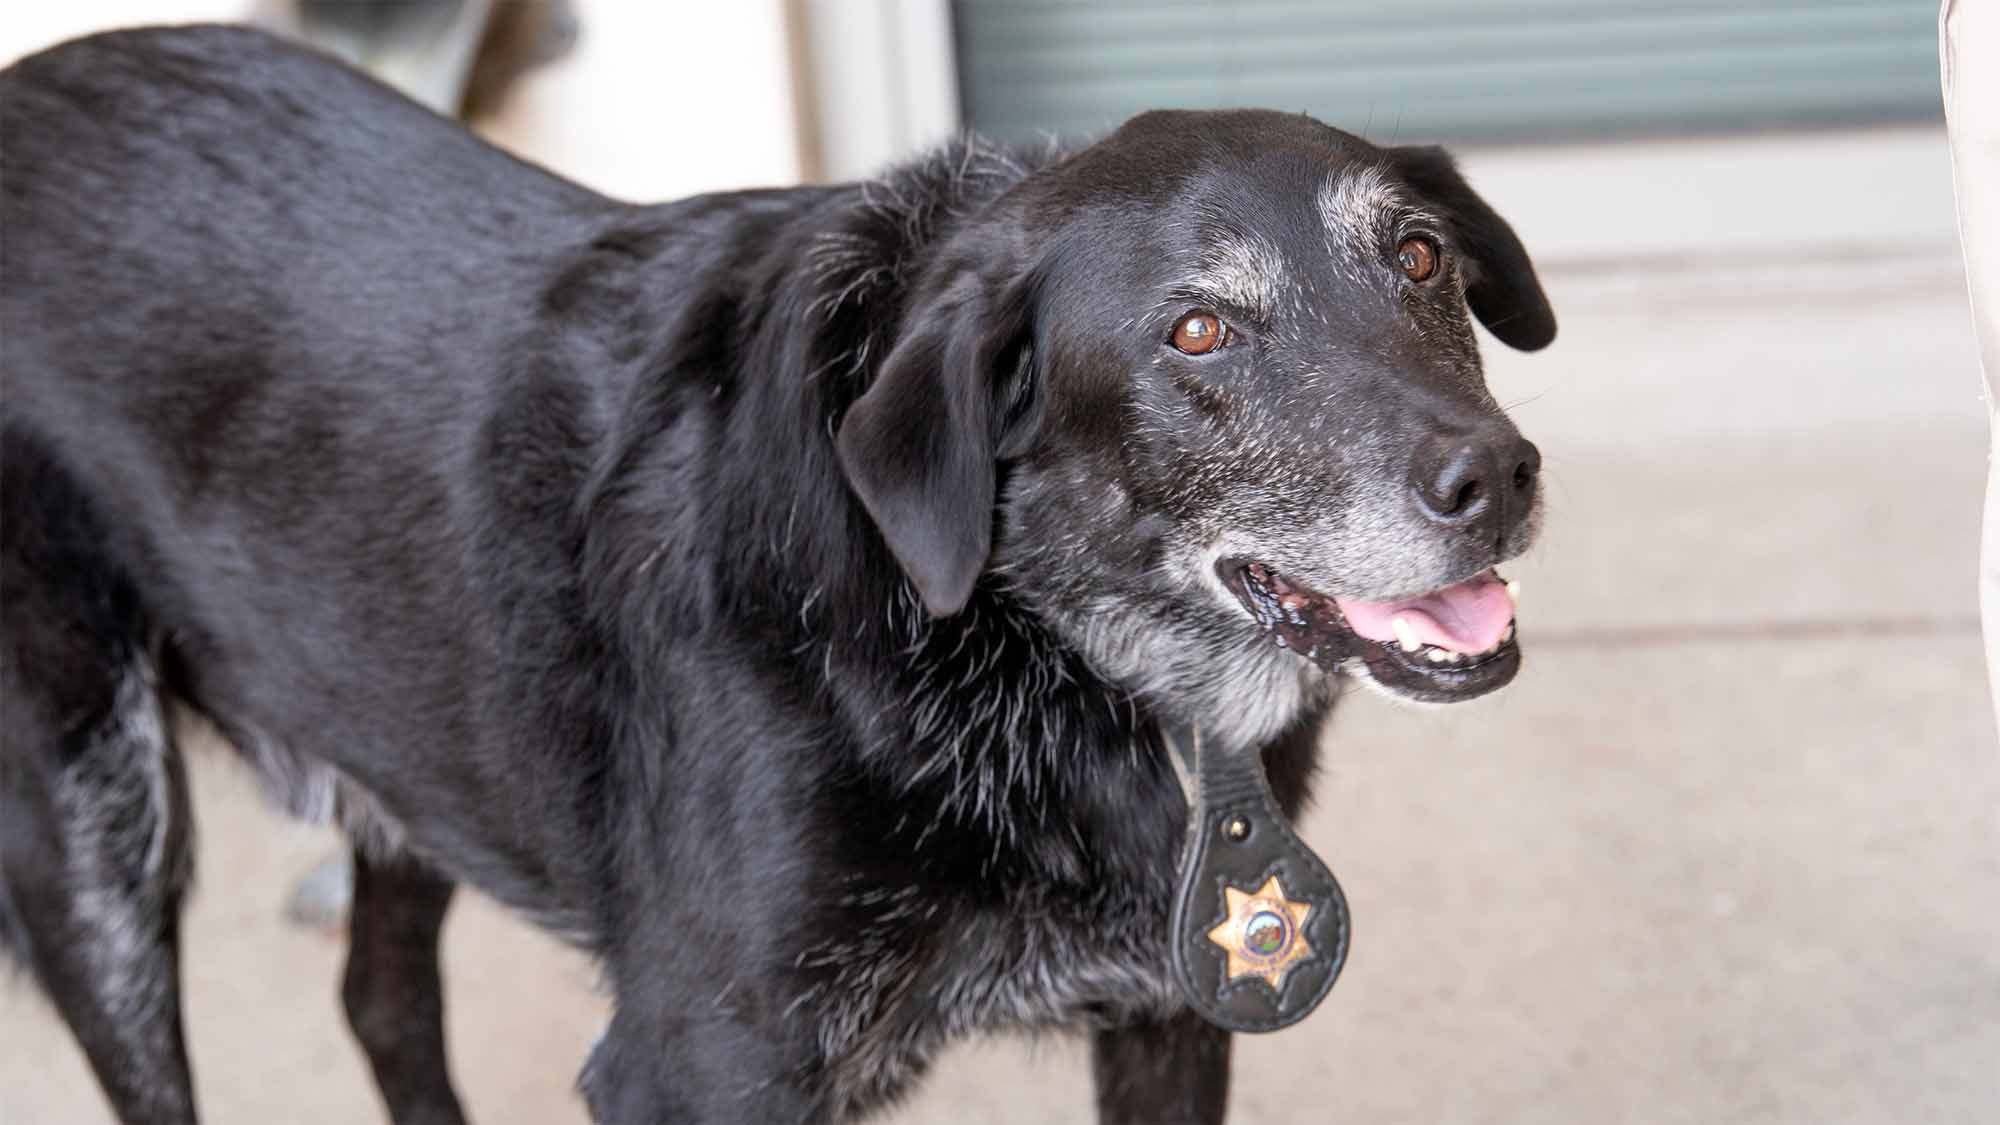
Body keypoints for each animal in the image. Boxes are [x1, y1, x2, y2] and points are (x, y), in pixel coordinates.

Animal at [0, 24, 1555, 1125]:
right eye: (1196, 332)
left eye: (1419, 256)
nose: (1498, 477)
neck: (1006, 638)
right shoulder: (702, 1064)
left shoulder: (1171, 1022)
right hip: (94, 831)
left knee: (381, 999)